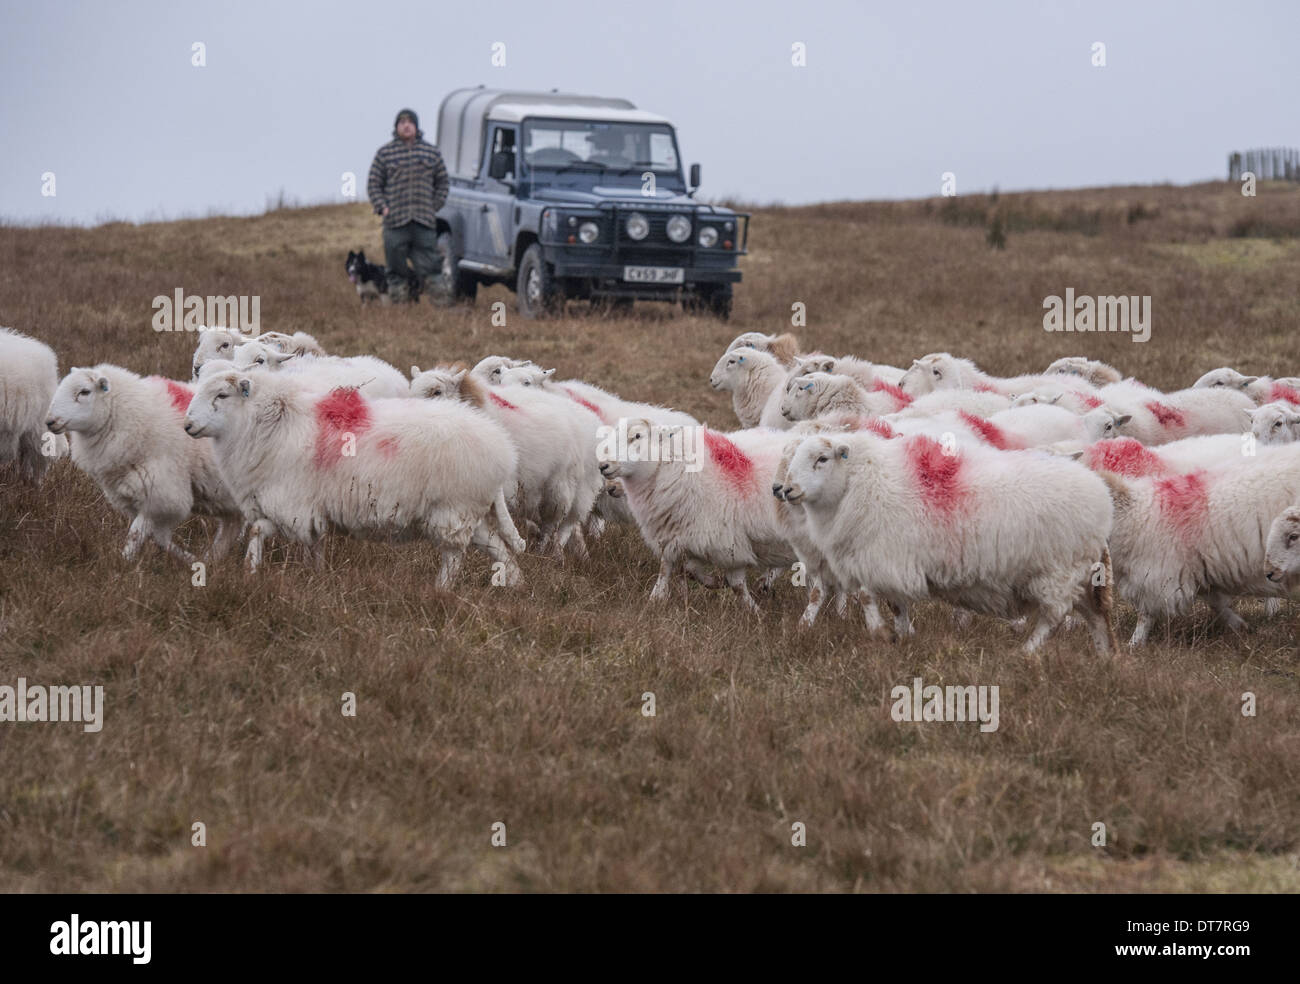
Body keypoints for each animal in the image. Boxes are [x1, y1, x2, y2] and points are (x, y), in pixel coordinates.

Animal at [45, 363, 240, 564]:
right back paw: (213, 559)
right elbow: (158, 537)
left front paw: (124, 562)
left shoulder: (160, 492)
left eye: (84, 392)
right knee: (230, 528)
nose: (50, 421)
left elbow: (137, 534)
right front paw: (192, 560)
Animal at [185, 369, 520, 582]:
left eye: (222, 395)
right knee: (499, 548)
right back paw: (515, 583)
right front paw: (314, 575)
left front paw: (250, 571)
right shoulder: (308, 511)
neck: (273, 423)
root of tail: (502, 449)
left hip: (453, 511)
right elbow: (312, 544)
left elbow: (257, 530)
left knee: (453, 557)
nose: (188, 425)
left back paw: (441, 589)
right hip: (469, 513)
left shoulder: (292, 507)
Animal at [774, 431, 1112, 652]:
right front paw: (902, 637)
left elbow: (870, 597)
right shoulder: (885, 562)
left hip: (1060, 571)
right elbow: (889, 603)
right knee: (1096, 618)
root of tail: (1101, 495)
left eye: (821, 459)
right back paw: (1104, 657)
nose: (787, 490)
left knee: (1053, 617)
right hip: (1080, 576)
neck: (860, 483)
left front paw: (883, 633)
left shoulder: (886, 557)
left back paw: (1027, 652)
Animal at [1097, 444, 1300, 644]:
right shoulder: (1197, 568)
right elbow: (1216, 602)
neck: (1135, 514)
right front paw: (1240, 626)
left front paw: (1134, 643)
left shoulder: (1160, 574)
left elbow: (1145, 615)